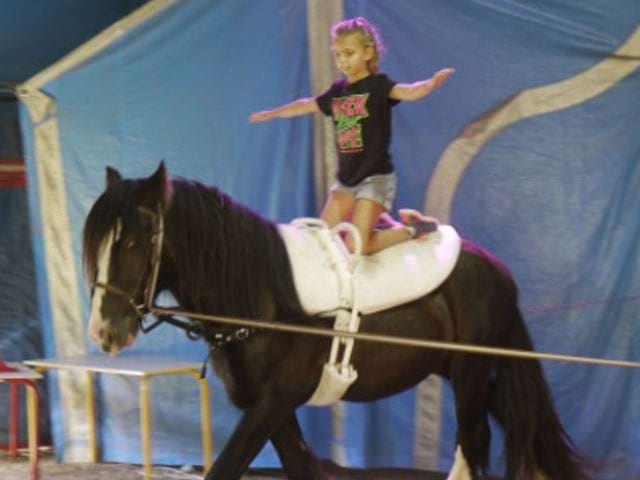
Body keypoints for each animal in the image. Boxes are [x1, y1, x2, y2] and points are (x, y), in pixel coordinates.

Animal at [81, 163, 584, 478]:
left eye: (132, 243)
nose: (105, 333)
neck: (264, 296)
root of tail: (496, 268)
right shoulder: (272, 410)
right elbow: (301, 468)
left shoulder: (271, 405)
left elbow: (224, 470)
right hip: (469, 374)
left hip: (469, 376)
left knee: (471, 446)